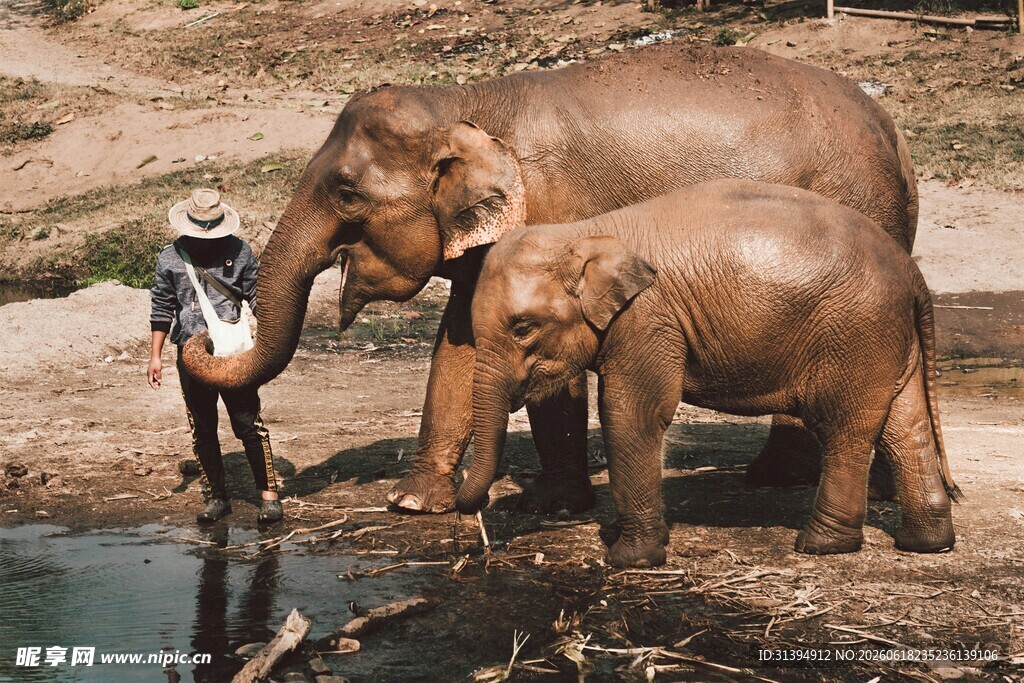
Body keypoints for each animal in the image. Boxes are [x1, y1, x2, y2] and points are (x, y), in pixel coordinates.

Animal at [182, 42, 918, 515]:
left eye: (345, 192)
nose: (195, 338)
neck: (468, 103)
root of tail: (894, 132)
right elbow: (459, 345)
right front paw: (413, 503)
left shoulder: (556, 211)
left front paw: (554, 505)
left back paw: (784, 480)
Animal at [456, 178, 959, 568]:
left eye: (523, 328)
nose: (475, 521)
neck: (585, 233)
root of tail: (913, 274)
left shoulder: (648, 319)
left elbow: (633, 414)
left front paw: (629, 560)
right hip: (886, 338)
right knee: (904, 424)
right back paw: (927, 544)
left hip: (855, 333)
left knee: (844, 429)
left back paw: (820, 546)